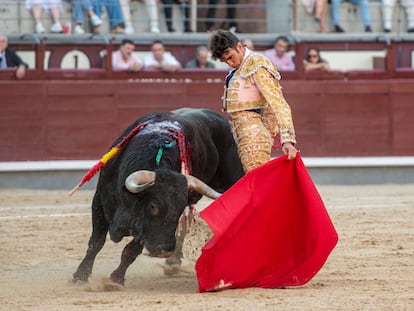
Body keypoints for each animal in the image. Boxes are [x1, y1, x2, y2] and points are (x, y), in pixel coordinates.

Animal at [73, 108, 244, 286]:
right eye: (153, 206)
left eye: (178, 208)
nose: (165, 250)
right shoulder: (99, 200)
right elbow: (96, 242)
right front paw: (81, 275)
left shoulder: (145, 229)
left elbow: (130, 251)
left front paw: (116, 279)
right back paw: (173, 262)